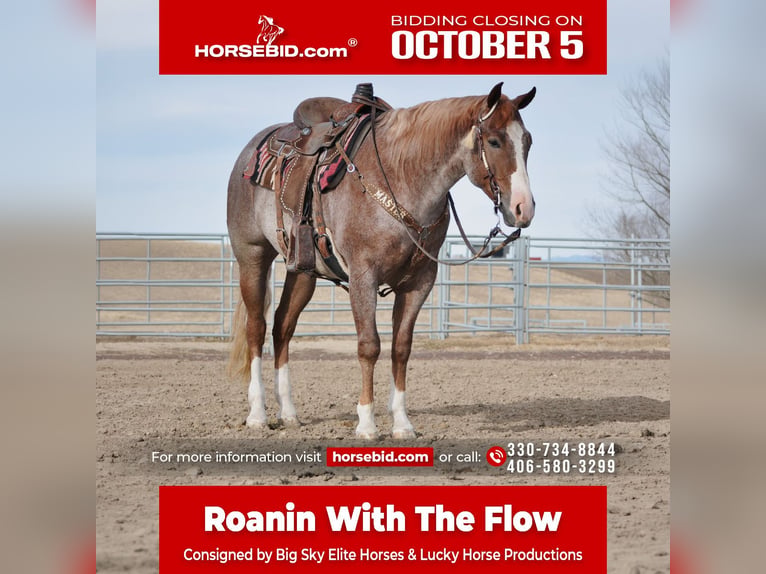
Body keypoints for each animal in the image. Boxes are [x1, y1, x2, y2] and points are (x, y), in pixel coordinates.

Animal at [227, 83, 536, 439]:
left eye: (527, 141)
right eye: (495, 140)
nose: (524, 208)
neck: (401, 175)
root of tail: (250, 151)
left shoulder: (420, 282)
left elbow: (401, 348)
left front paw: (402, 423)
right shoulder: (364, 277)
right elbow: (369, 345)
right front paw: (366, 423)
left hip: (303, 272)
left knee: (282, 327)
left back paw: (289, 412)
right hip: (252, 257)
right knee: (257, 327)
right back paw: (257, 415)